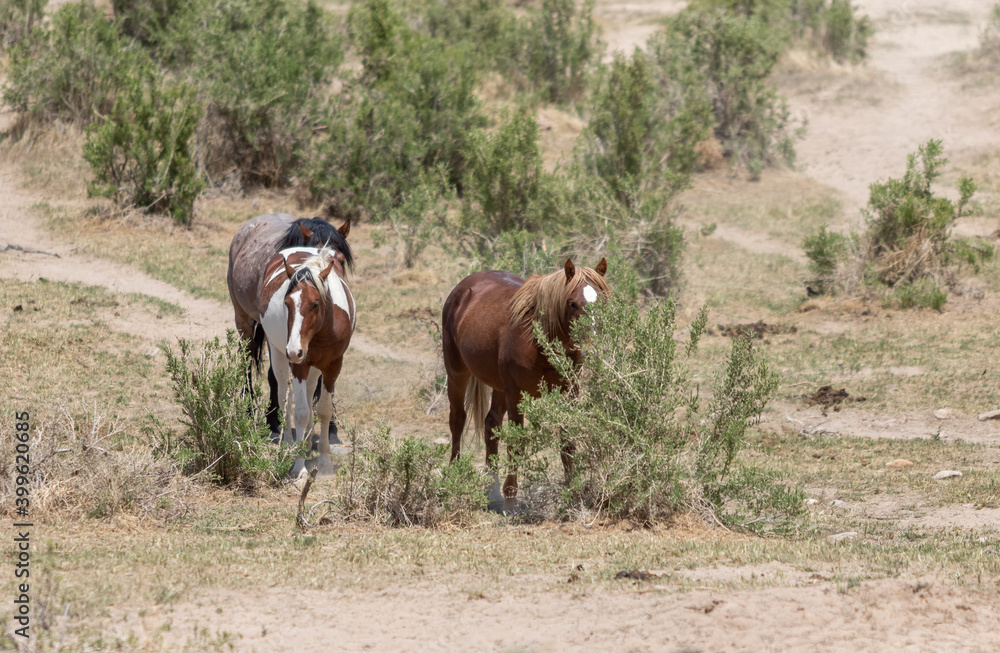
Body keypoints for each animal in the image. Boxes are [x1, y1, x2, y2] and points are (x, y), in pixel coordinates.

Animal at [226, 214, 353, 437]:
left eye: (341, 260)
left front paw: (330, 424)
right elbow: (274, 376)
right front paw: (272, 418)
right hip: (243, 320)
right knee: (246, 360)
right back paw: (249, 408)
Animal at [258, 246, 356, 477]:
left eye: (315, 304)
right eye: (287, 303)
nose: (294, 350)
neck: (322, 331)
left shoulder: (332, 366)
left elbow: (323, 410)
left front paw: (325, 463)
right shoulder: (299, 365)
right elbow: (301, 413)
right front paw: (299, 465)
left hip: (313, 367)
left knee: (310, 394)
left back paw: (308, 443)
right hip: (278, 356)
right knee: (283, 397)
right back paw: (288, 445)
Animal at [442, 257, 609, 506]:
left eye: (603, 300)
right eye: (572, 303)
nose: (591, 343)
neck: (538, 341)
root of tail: (462, 288)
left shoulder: (569, 392)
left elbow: (567, 442)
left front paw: (574, 491)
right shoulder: (517, 393)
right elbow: (517, 441)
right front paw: (511, 496)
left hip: (499, 386)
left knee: (491, 424)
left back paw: (492, 490)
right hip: (457, 372)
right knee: (458, 420)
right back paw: (455, 476)